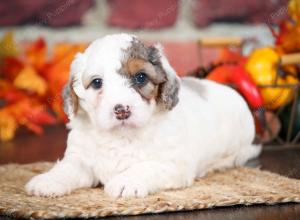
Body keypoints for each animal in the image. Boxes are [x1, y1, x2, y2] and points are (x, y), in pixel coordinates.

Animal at [25, 33, 260, 199]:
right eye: (97, 82)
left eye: (140, 77)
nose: (121, 109)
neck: (121, 137)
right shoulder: (80, 158)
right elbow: (66, 168)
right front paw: (48, 180)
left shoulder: (173, 164)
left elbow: (145, 167)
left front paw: (125, 181)